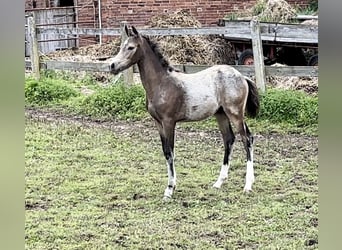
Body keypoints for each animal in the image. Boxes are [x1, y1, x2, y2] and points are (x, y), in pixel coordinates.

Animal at [109, 26, 260, 200]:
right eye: (122, 46)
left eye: (131, 47)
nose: (112, 65)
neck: (162, 83)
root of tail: (241, 76)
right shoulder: (158, 123)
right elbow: (165, 152)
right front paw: (171, 186)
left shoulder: (169, 122)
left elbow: (170, 152)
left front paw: (169, 189)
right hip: (221, 115)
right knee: (229, 139)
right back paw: (218, 182)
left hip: (235, 114)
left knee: (247, 139)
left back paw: (248, 185)